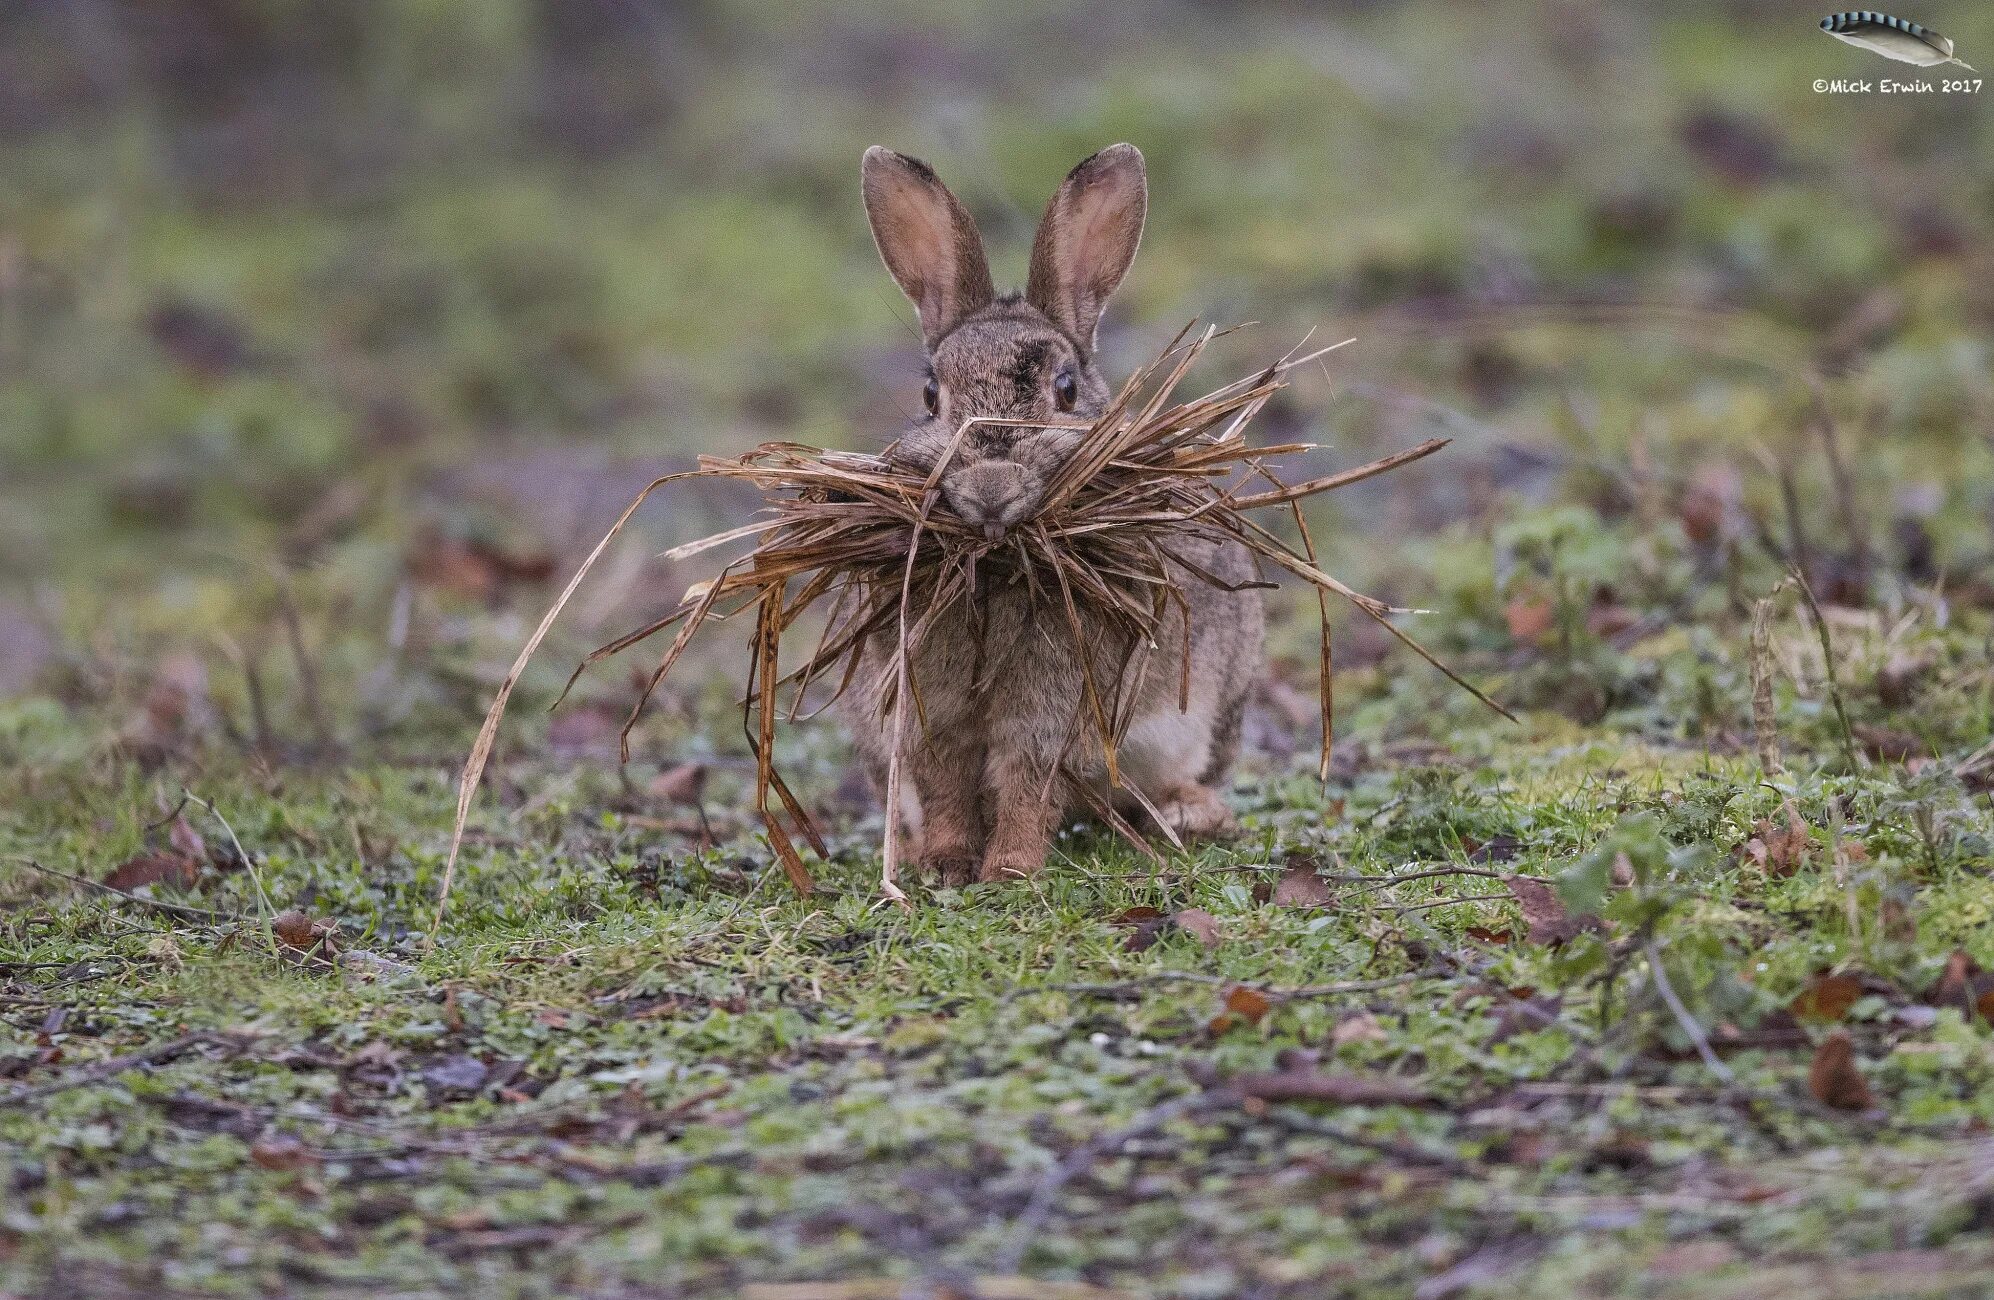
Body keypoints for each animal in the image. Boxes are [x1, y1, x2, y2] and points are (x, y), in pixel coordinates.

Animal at [841, 147, 1260, 889]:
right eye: (930, 396)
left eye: (1064, 389)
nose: (990, 487)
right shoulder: (924, 709)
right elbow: (946, 784)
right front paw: (945, 866)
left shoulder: (1055, 705)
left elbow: (1027, 783)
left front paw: (1010, 870)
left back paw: (1190, 812)